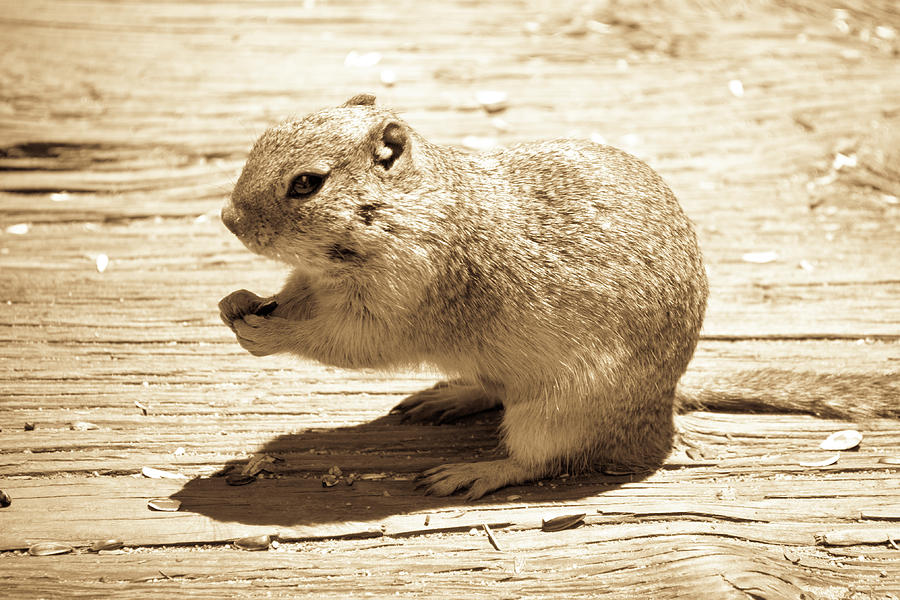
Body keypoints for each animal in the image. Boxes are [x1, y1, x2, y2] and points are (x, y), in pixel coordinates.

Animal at [220, 94, 900, 496]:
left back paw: (471, 472)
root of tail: (664, 404)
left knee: (541, 461)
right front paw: (235, 303)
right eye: (261, 139)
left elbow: (345, 340)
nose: (227, 218)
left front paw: (267, 330)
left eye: (307, 184)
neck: (408, 209)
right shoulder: (314, 281)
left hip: (556, 412)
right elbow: (290, 297)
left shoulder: (404, 295)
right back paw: (450, 397)